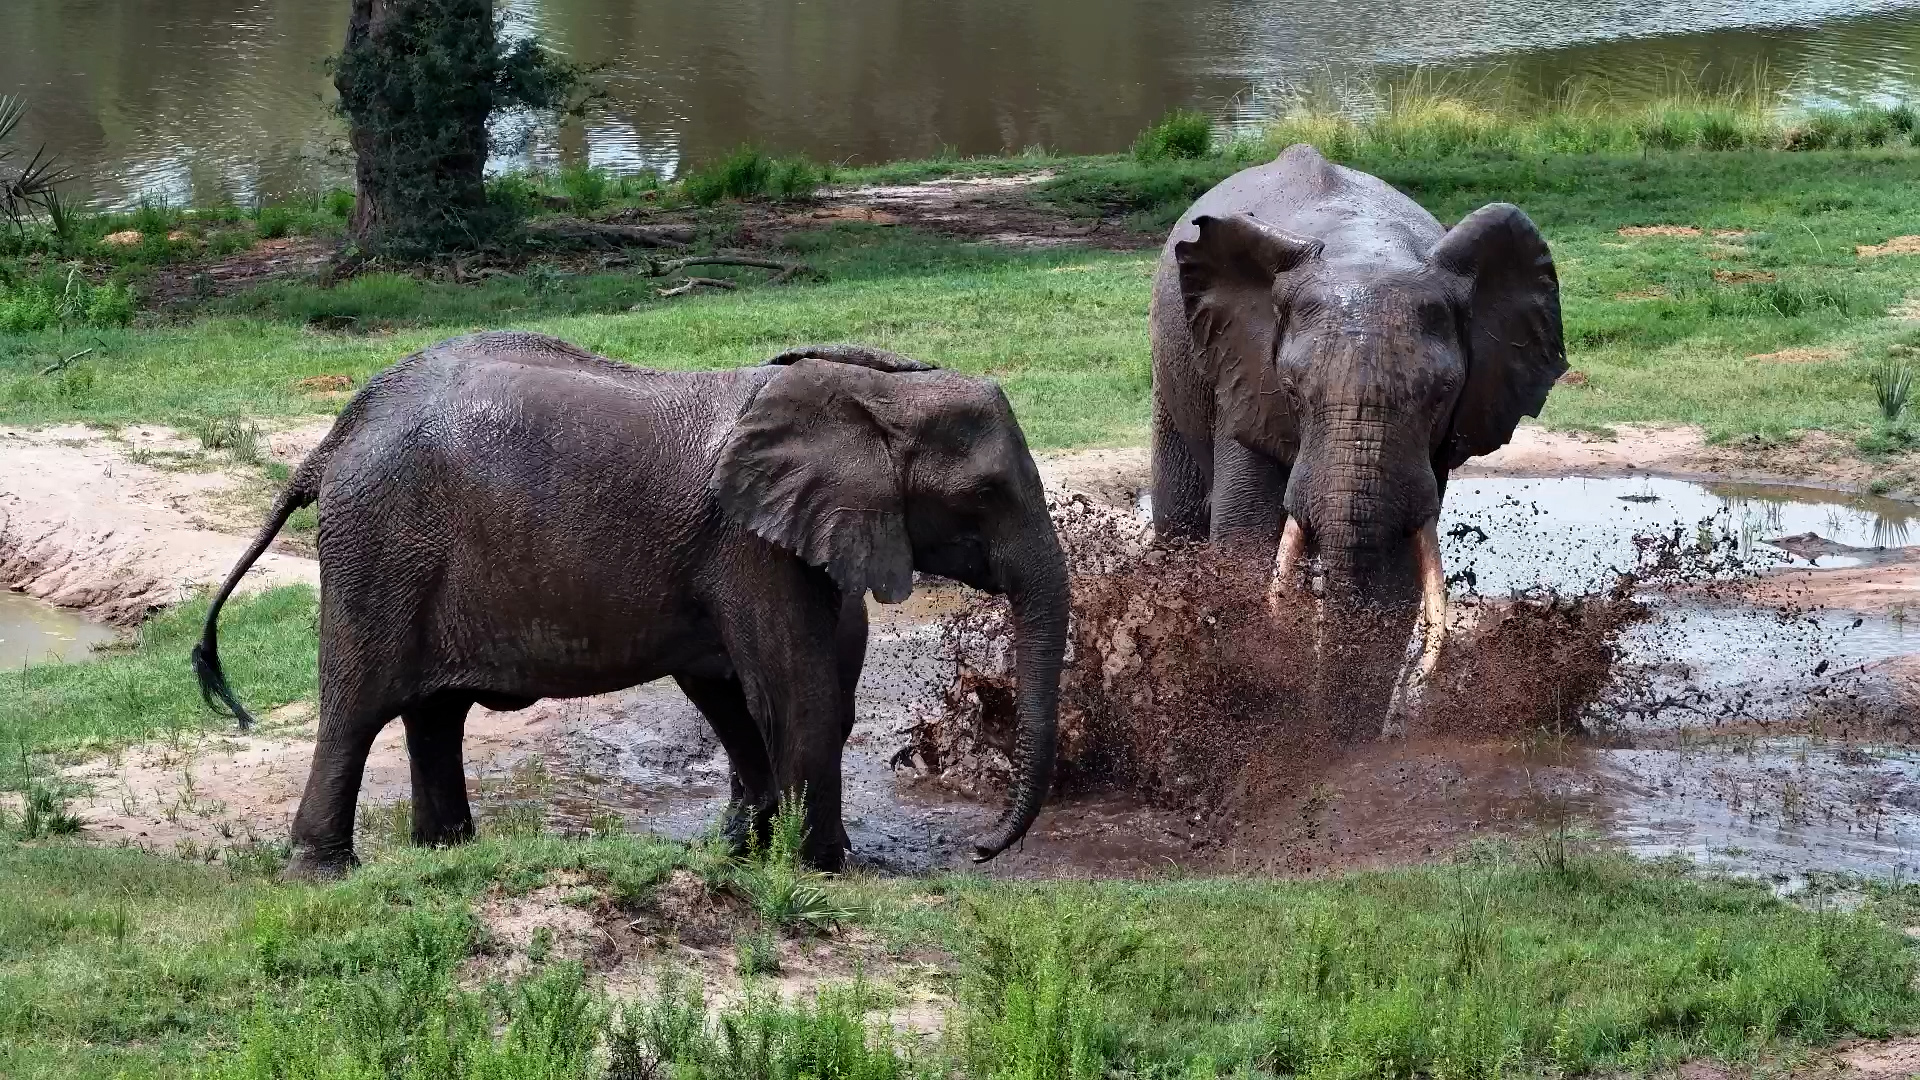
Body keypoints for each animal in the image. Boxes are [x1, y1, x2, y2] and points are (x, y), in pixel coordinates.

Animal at [191, 332, 1067, 878]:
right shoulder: (749, 544)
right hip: (379, 545)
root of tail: (333, 439)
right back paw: (325, 873)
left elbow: (736, 689)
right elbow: (796, 690)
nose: (979, 850)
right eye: (985, 496)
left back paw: (449, 853)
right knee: (359, 705)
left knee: (433, 714)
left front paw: (747, 850)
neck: (869, 392)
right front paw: (820, 865)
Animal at [1149, 143, 1565, 736]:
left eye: (1442, 395)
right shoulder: (1245, 379)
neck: (1361, 249)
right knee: (1180, 517)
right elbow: (1246, 547)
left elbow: (1393, 575)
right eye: (1292, 390)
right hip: (1175, 370)